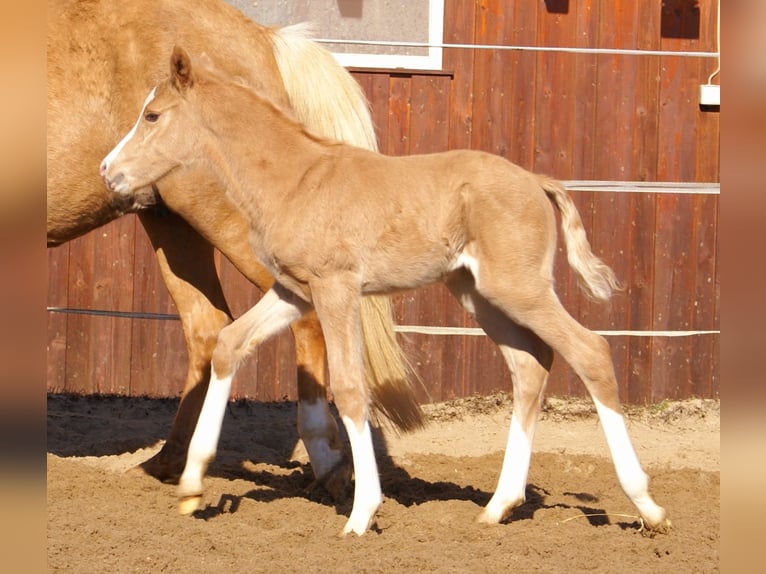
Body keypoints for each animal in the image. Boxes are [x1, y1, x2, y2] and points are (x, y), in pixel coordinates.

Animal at [47, 0, 424, 496]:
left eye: (152, 116)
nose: (106, 169)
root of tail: (265, 38)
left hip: (227, 225)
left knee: (301, 320)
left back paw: (326, 460)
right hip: (172, 224)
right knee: (208, 330)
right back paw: (169, 462)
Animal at [102, 49, 672, 540]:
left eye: (152, 115)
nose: (109, 172)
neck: (296, 179)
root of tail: (536, 181)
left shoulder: (335, 287)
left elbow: (351, 388)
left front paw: (361, 515)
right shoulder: (293, 291)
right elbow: (229, 344)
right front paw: (192, 484)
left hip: (519, 288)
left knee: (590, 350)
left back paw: (647, 506)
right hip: (478, 294)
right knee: (530, 366)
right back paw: (498, 507)